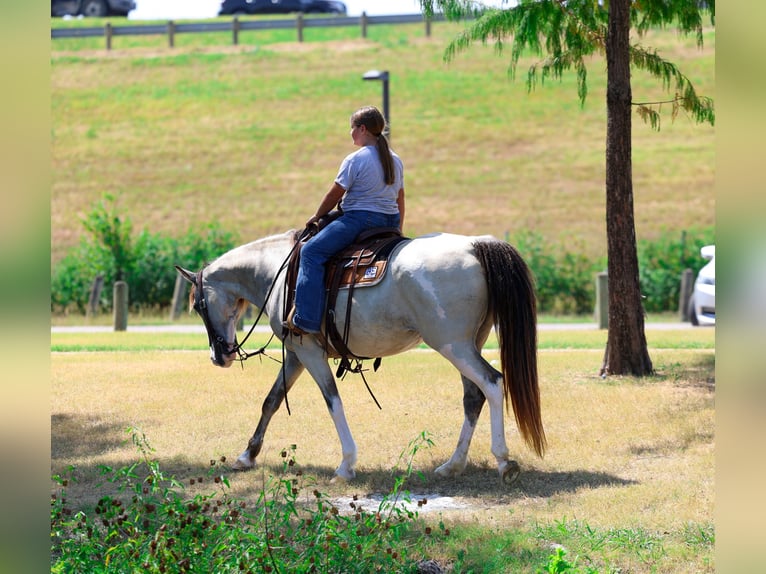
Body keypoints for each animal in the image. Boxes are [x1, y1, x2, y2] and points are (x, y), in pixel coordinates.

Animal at [175, 230, 546, 484]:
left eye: (198, 305)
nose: (219, 357)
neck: (278, 272)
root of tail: (474, 244)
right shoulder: (295, 354)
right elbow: (272, 401)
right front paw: (246, 455)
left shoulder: (309, 352)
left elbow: (332, 401)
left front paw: (346, 464)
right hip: (467, 345)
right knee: (473, 397)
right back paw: (452, 465)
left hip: (453, 346)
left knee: (493, 384)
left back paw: (503, 460)